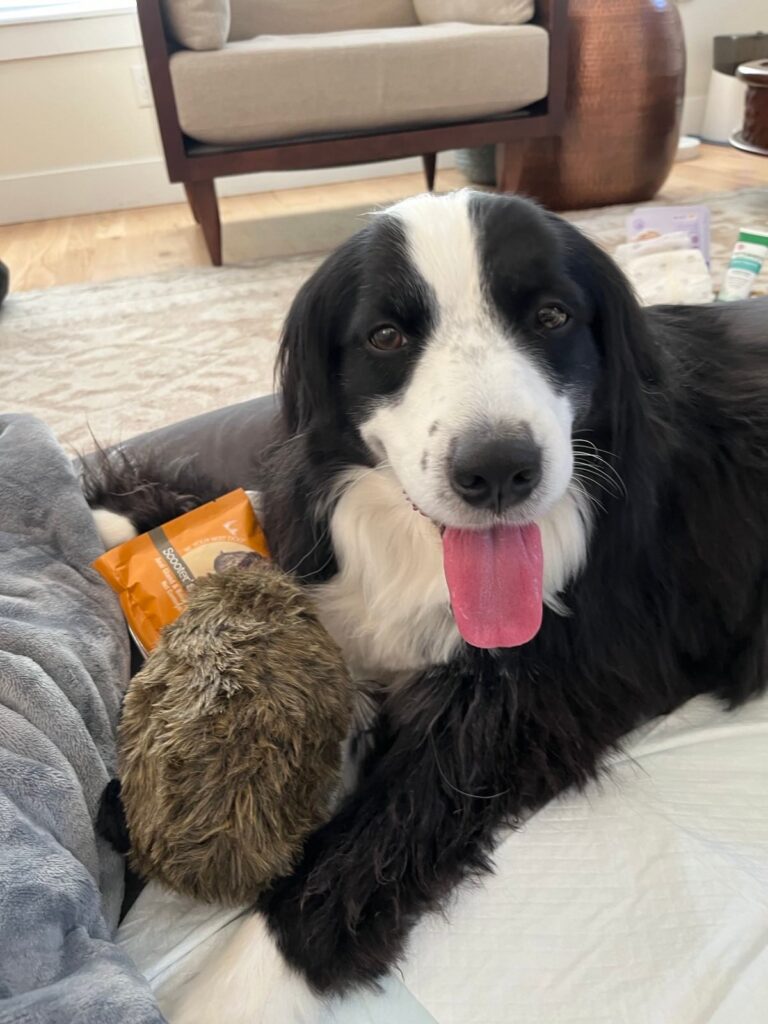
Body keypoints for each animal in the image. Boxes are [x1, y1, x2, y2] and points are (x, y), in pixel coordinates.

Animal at [90, 190, 768, 1015]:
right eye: (386, 335)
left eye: (551, 316)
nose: (498, 469)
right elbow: (252, 511)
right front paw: (115, 516)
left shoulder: (540, 697)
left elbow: (380, 835)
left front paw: (232, 994)